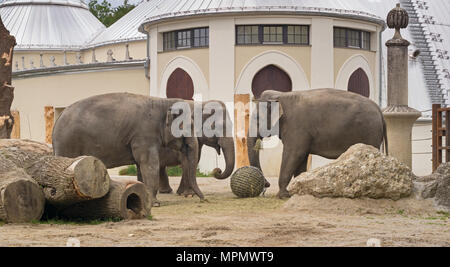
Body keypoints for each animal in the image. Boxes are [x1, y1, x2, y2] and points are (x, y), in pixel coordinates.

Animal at [53, 93, 206, 207]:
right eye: (189, 126)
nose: (203, 200)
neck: (163, 102)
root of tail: (58, 118)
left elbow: (141, 166)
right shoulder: (144, 134)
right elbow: (150, 164)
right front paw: (155, 204)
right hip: (67, 144)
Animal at [246, 89, 386, 199]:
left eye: (257, 118)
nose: (267, 184)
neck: (280, 95)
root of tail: (380, 111)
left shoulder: (297, 127)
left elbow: (294, 154)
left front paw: (282, 196)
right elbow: (301, 158)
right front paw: (297, 190)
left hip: (370, 132)